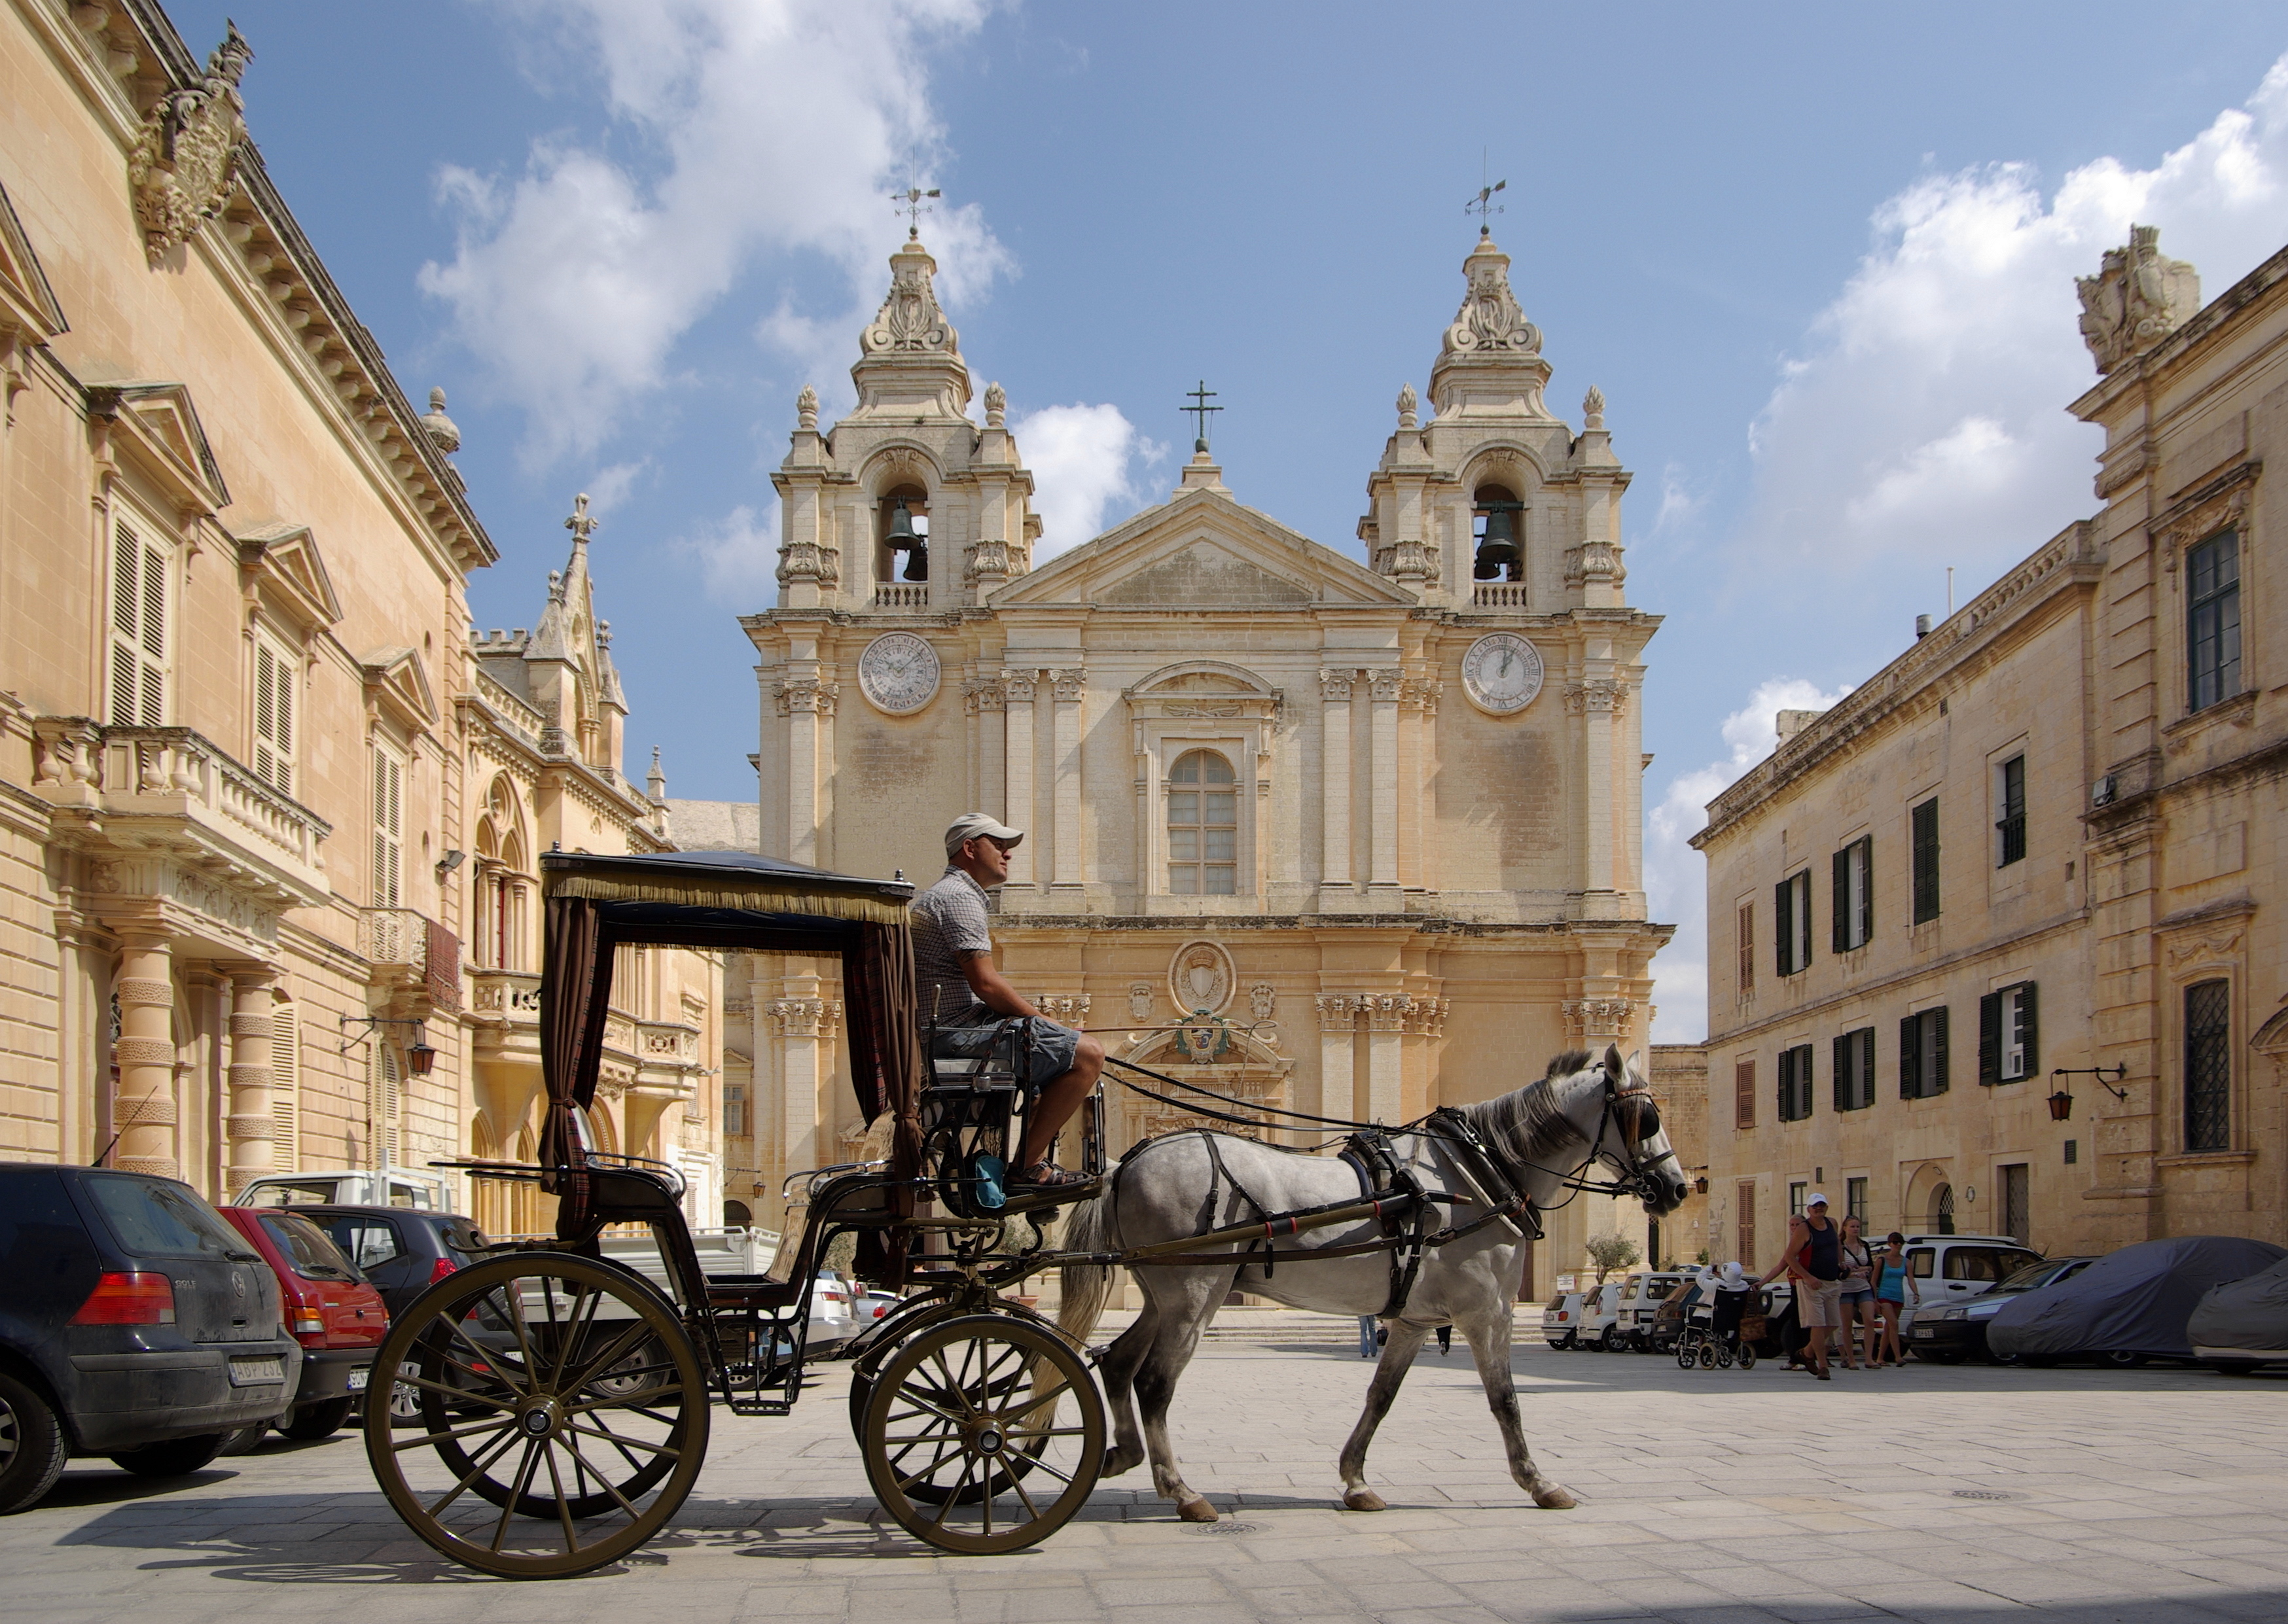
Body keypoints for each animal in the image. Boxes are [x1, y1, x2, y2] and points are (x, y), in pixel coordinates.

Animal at [1062, 1048, 1693, 1519]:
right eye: (1649, 1118)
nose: (1676, 1188)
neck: (1477, 1172)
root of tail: (1122, 1165)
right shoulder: (1487, 1312)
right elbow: (1506, 1400)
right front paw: (1538, 1482)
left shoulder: (1414, 1320)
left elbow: (1380, 1396)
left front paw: (1356, 1481)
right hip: (1196, 1297)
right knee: (1154, 1383)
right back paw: (1182, 1491)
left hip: (1163, 1298)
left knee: (1117, 1363)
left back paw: (1123, 1455)